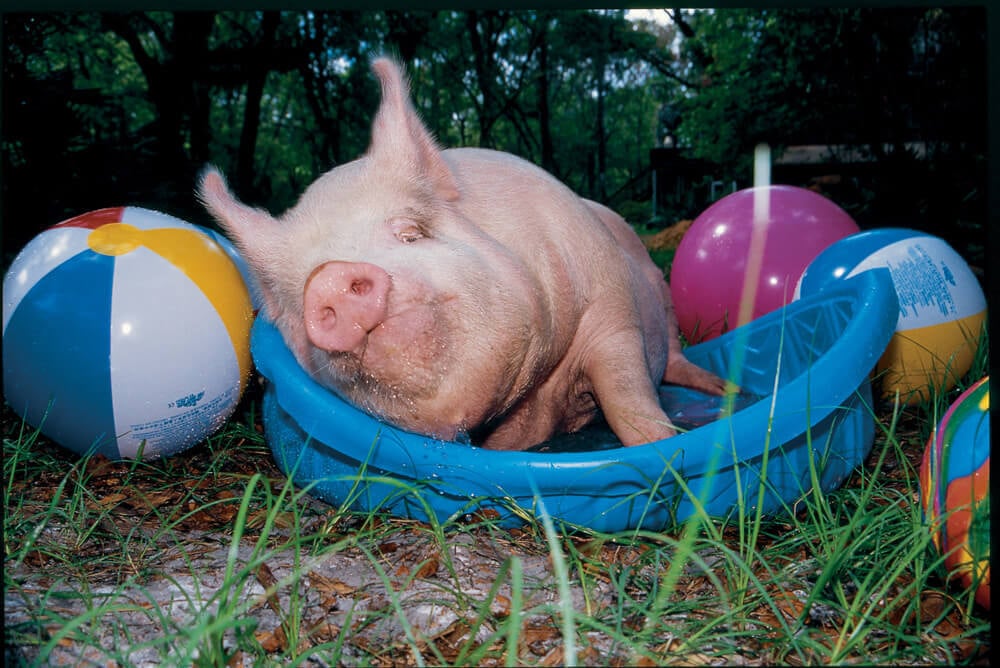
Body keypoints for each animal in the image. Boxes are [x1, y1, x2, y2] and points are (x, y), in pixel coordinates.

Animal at [199, 57, 728, 452]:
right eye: (295, 299)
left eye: (411, 232)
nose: (329, 278)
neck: (536, 394)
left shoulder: (612, 308)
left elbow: (627, 397)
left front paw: (664, 449)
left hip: (660, 292)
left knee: (674, 357)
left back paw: (724, 389)